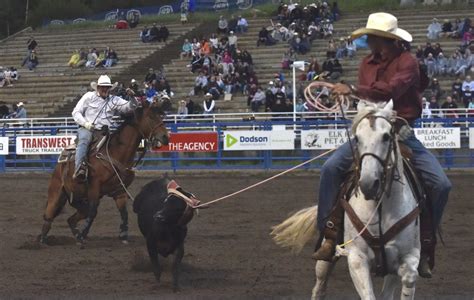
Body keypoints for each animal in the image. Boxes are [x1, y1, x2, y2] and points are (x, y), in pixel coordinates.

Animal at [39, 101, 168, 246]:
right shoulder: (95, 187)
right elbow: (93, 212)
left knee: (71, 219)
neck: (115, 153)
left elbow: (124, 213)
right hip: (56, 193)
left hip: (79, 199)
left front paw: (123, 235)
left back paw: (75, 235)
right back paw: (43, 240)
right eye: (151, 117)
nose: (165, 137)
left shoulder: (119, 191)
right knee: (49, 216)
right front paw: (83, 235)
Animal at [272, 101, 420, 300]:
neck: (380, 208)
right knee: (319, 287)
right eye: (356, 138)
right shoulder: (357, 260)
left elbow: (408, 277)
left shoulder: (407, 258)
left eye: (386, 136)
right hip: (325, 257)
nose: (368, 183)